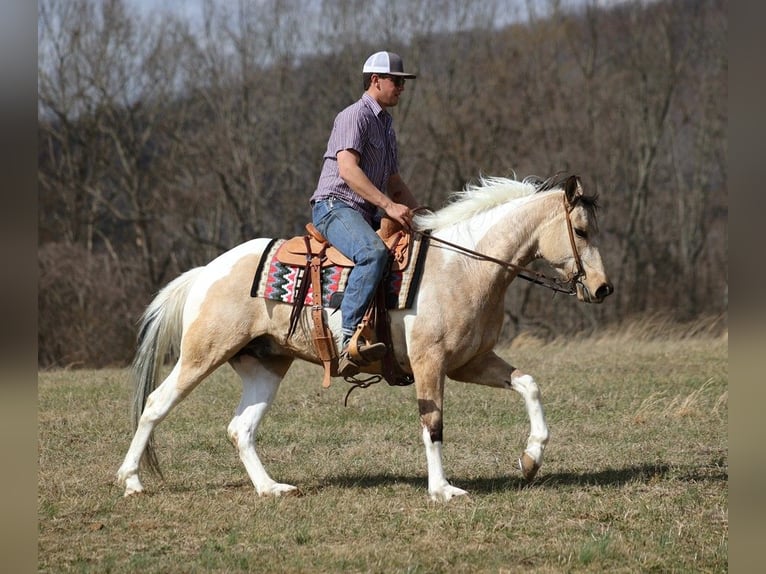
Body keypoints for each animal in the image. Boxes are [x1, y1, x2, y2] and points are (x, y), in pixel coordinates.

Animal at [117, 173, 616, 502]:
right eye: (581, 230)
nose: (602, 289)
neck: (464, 265)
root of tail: (207, 271)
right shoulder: (431, 363)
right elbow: (433, 424)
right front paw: (442, 490)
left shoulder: (470, 362)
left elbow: (528, 384)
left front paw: (530, 461)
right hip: (202, 355)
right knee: (156, 404)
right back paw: (131, 480)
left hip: (266, 365)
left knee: (241, 428)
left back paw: (271, 488)